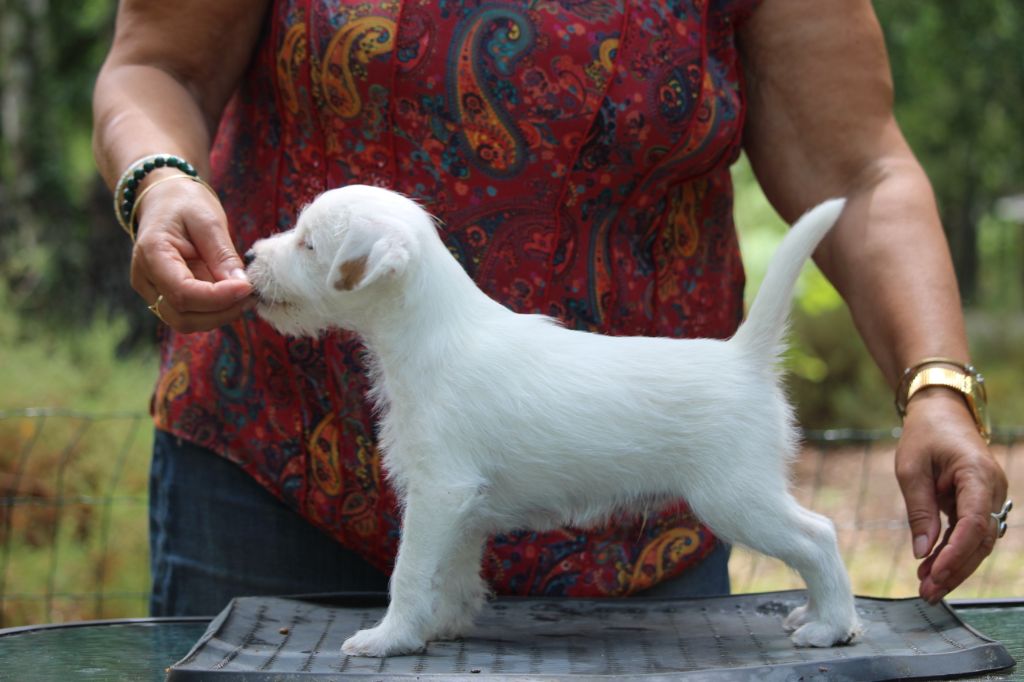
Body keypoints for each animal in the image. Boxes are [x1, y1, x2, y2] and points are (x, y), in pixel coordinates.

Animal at [249, 184, 864, 655]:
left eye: (307, 244)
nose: (252, 257)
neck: (430, 332)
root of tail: (744, 358)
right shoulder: (461, 507)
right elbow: (453, 573)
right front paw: (444, 625)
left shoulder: (438, 492)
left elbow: (410, 573)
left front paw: (390, 638)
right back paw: (813, 615)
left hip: (736, 498)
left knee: (818, 536)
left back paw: (831, 626)